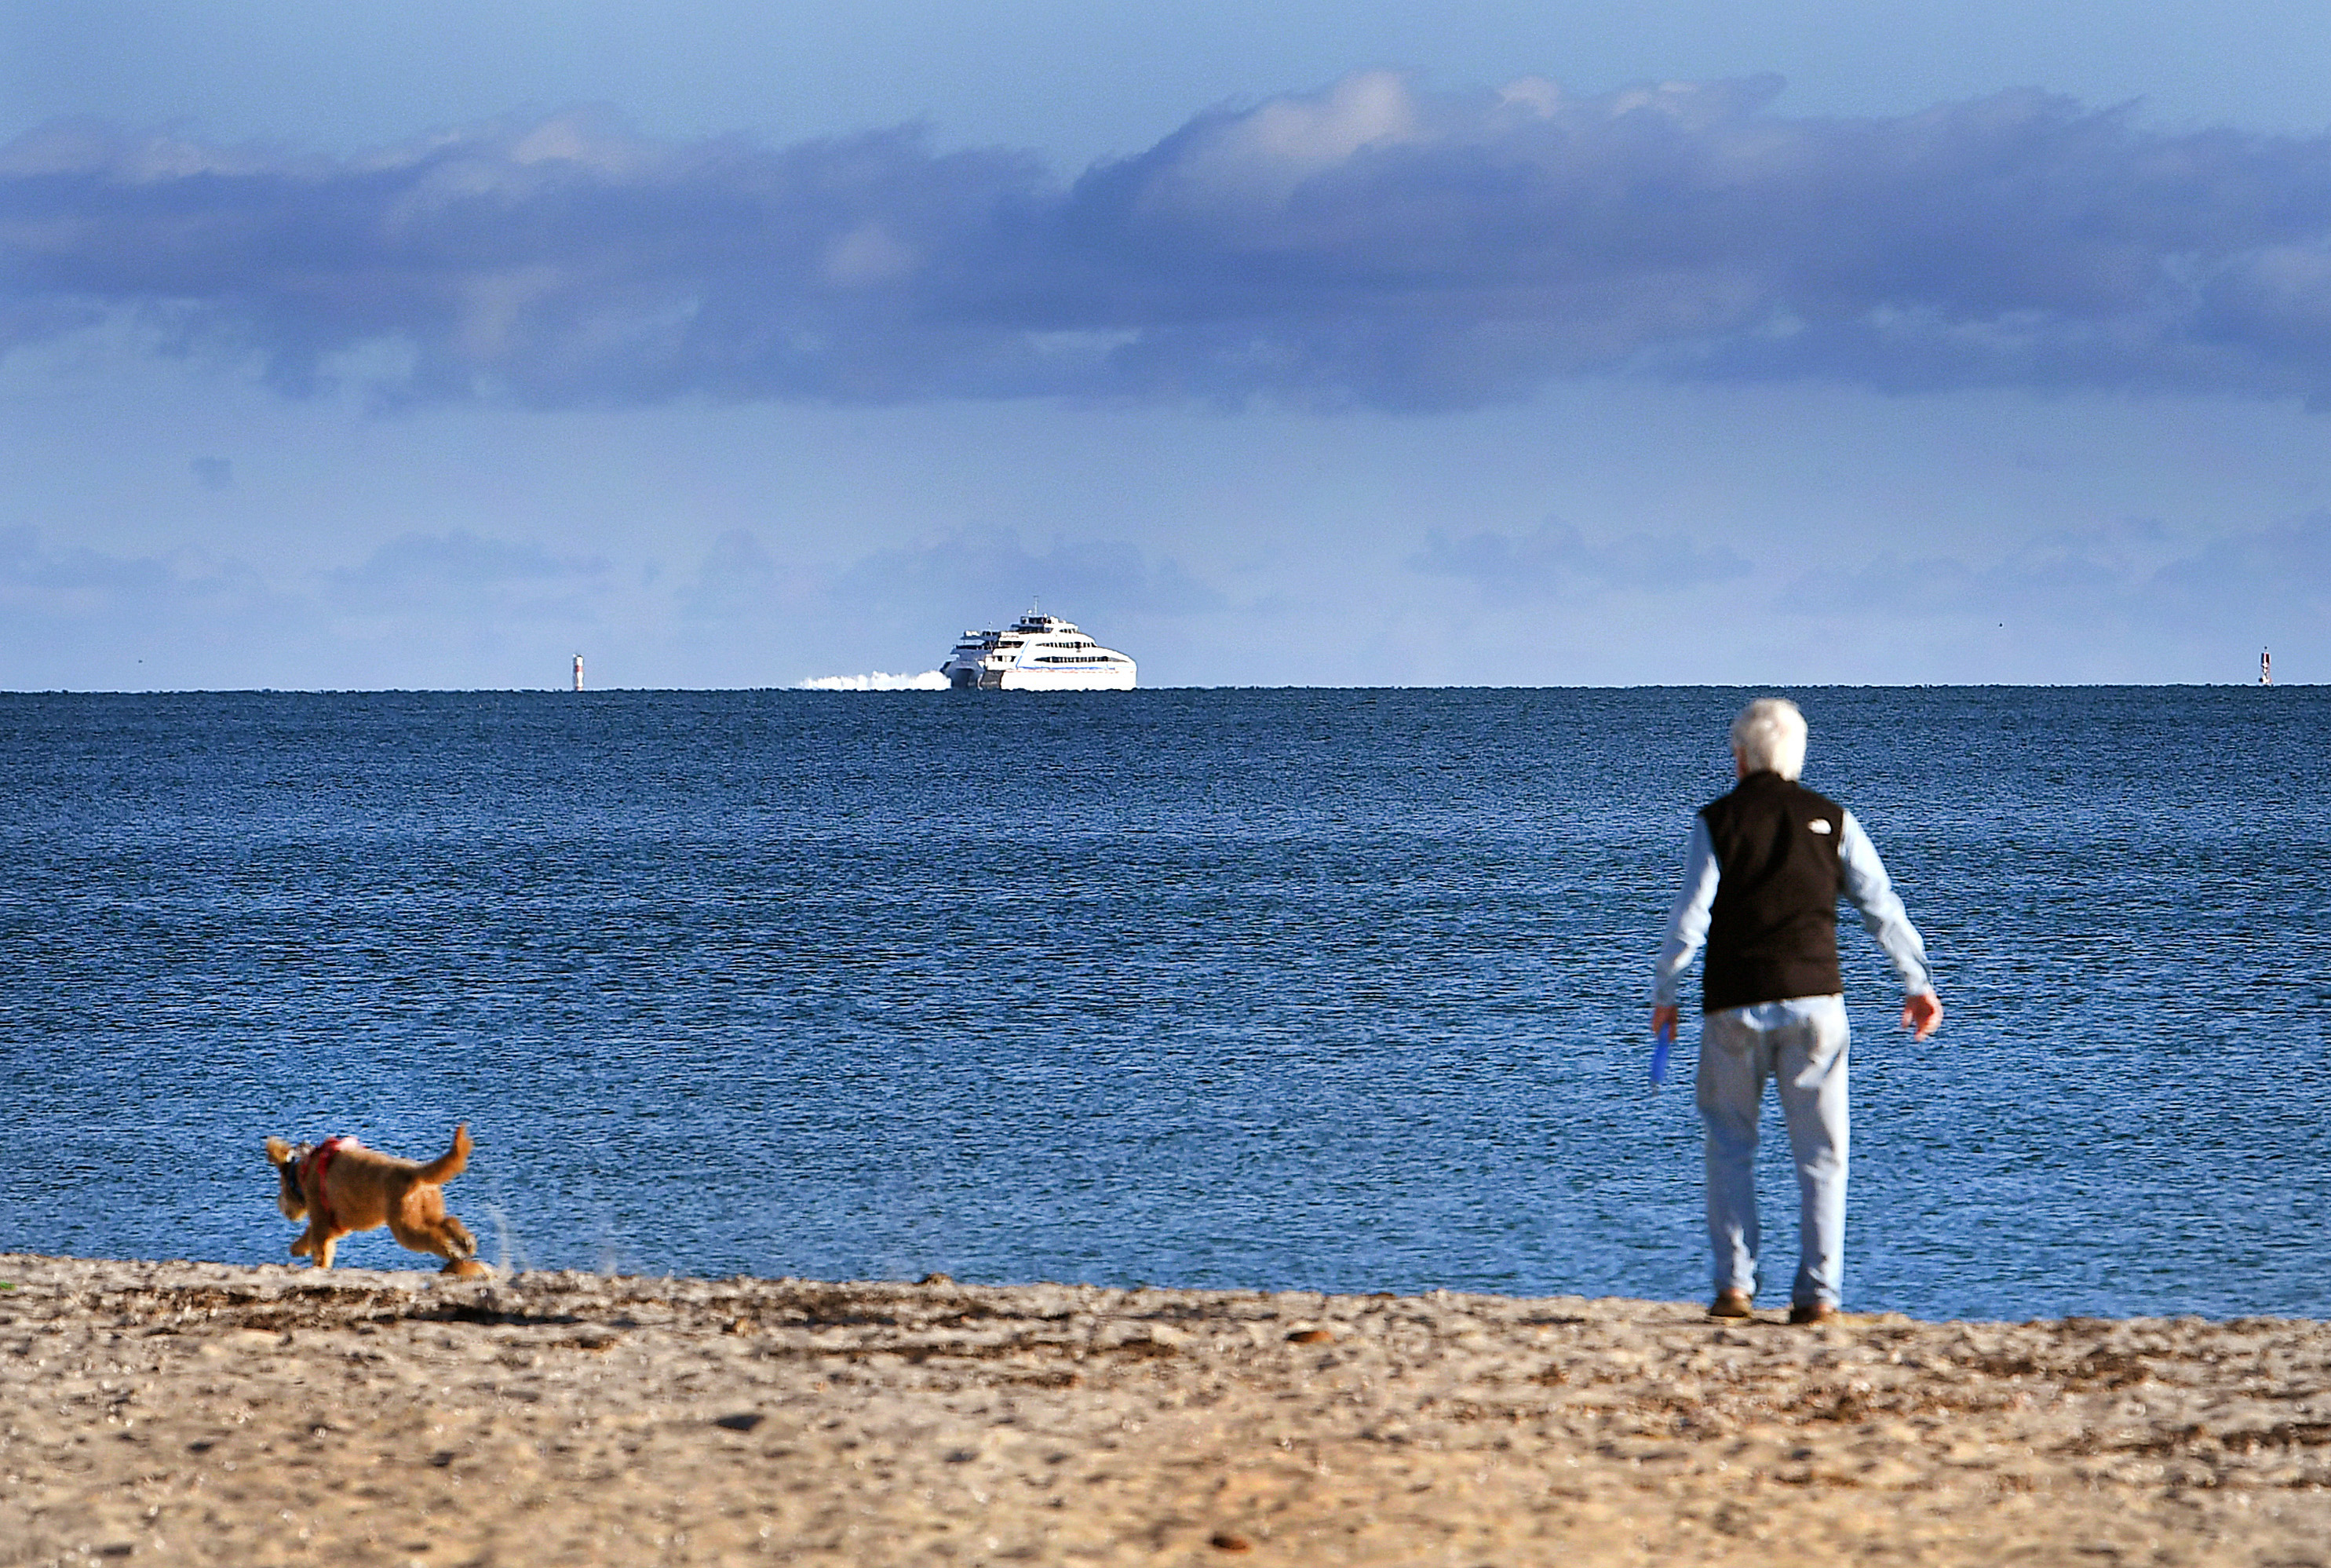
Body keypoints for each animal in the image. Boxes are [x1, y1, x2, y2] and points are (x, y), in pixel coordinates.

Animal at [262, 1127, 484, 1267]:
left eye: (280, 1188)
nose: (279, 1206)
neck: (302, 1172)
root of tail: (416, 1173)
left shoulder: (322, 1218)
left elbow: (320, 1247)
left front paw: (315, 1264)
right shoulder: (337, 1222)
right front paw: (298, 1248)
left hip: (404, 1225)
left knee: (433, 1236)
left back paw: (452, 1252)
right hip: (426, 1210)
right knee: (448, 1221)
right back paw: (466, 1241)